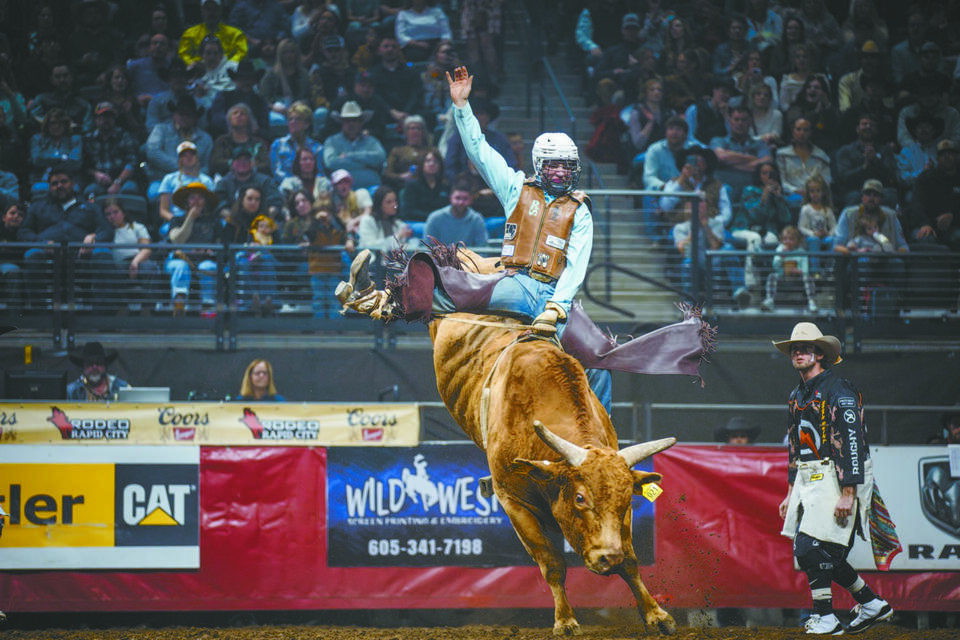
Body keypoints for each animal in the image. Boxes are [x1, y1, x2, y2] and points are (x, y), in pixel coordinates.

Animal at [427, 253, 678, 636]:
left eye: (625, 500)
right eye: (580, 498)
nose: (608, 556)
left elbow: (632, 561)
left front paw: (656, 614)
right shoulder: (514, 500)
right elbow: (551, 562)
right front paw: (566, 620)